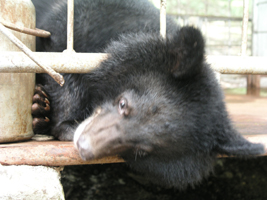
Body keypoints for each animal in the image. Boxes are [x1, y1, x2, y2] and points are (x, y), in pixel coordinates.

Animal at [32, 0, 264, 189]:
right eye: (123, 104)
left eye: (142, 150)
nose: (83, 146)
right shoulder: (86, 22)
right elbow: (62, 57)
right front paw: (66, 124)